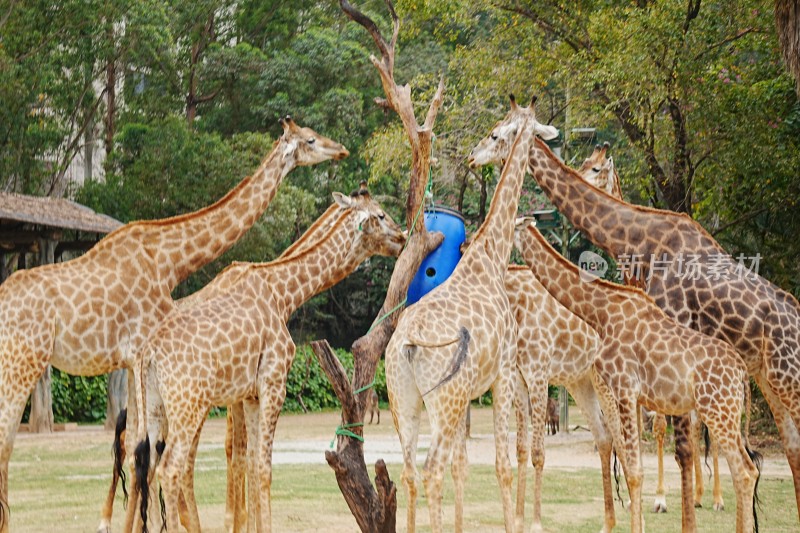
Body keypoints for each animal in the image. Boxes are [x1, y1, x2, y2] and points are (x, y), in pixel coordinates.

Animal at [0, 115, 350, 532]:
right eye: (310, 139)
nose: (342, 150)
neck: (168, 260)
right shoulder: (142, 352)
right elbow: (148, 450)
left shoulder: (135, 362)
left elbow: (142, 449)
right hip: (24, 365)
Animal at [131, 191, 406, 532]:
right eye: (380, 215)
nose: (402, 237)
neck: (283, 293)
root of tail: (148, 352)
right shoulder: (274, 383)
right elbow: (263, 467)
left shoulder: (250, 394)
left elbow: (250, 461)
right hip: (189, 405)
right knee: (172, 468)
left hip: (155, 405)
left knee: (146, 464)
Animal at [384, 94, 540, 532]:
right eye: (496, 132)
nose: (473, 156)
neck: (491, 257)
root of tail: (406, 344)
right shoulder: (503, 374)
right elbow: (502, 466)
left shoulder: (471, 393)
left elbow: (463, 467)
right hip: (444, 400)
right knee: (430, 469)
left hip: (405, 401)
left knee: (409, 471)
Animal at [512, 216, 764, 532]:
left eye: (514, 226)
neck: (602, 312)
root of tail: (741, 372)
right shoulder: (632, 396)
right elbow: (635, 466)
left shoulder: (623, 388)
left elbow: (633, 471)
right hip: (723, 413)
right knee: (744, 469)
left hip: (718, 411)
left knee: (743, 471)